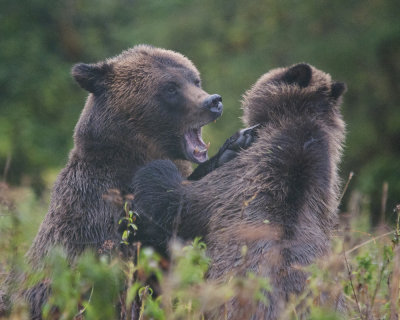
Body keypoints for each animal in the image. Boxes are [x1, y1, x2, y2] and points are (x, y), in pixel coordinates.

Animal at [0, 45, 256, 320]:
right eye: (170, 88)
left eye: (195, 80)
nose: (213, 101)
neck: (132, 159)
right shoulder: (100, 219)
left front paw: (236, 145)